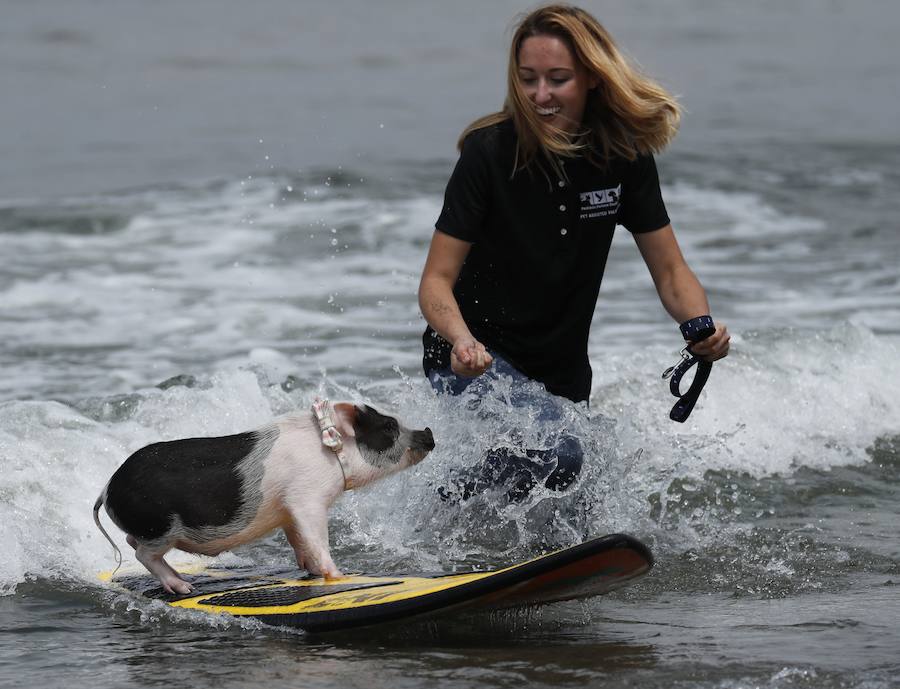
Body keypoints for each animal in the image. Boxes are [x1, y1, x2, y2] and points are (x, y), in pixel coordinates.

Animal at [93, 400, 434, 592]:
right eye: (389, 426)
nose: (429, 432)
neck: (333, 452)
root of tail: (107, 488)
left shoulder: (288, 511)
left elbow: (300, 540)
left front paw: (310, 571)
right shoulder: (307, 499)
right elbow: (318, 538)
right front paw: (339, 576)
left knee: (133, 542)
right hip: (160, 527)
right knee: (143, 554)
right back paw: (184, 588)